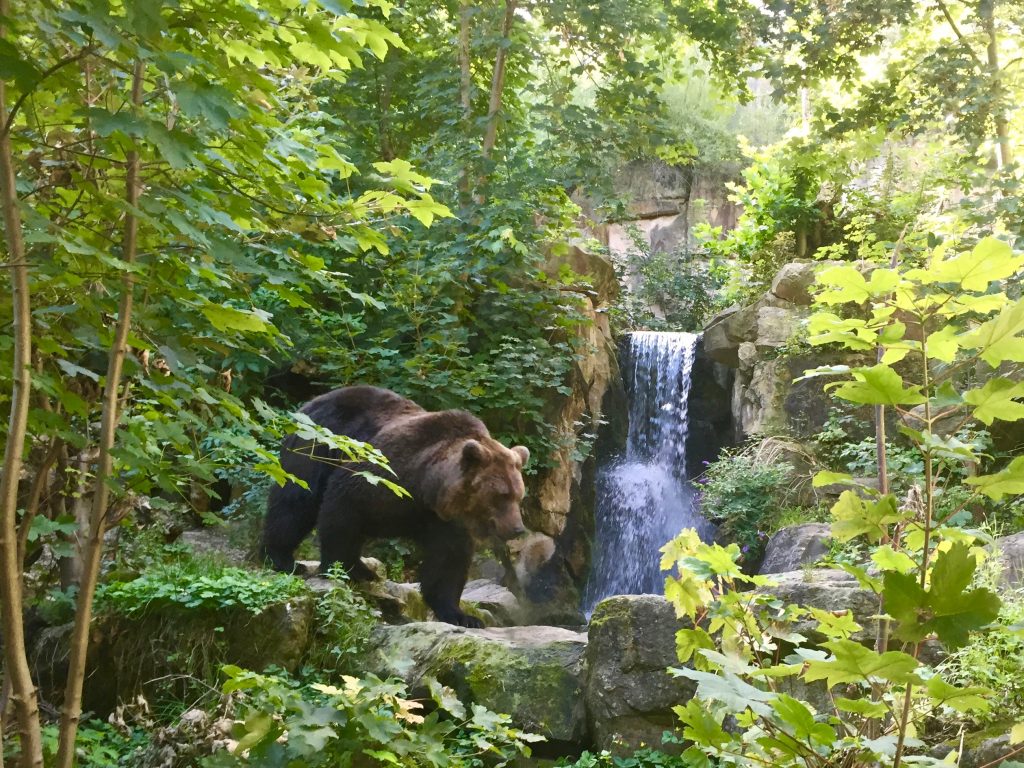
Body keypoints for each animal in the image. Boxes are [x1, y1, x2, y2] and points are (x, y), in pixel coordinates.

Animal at [261, 385, 530, 628]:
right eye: (501, 495)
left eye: (519, 495)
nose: (517, 528)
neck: (427, 488)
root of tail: (309, 403)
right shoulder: (383, 478)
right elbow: (341, 512)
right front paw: (343, 569)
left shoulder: (445, 522)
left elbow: (448, 564)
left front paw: (462, 616)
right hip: (318, 443)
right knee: (294, 502)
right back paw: (284, 559)